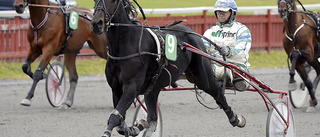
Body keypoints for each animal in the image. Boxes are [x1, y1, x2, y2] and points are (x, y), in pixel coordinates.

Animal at [91, 0, 246, 136]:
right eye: (95, 0)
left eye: (113, 0)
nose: (96, 23)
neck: (126, 45)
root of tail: (191, 32)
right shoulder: (116, 88)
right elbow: (120, 124)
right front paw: (134, 127)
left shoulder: (131, 87)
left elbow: (115, 117)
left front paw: (108, 133)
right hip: (153, 89)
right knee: (153, 119)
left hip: (202, 78)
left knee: (218, 94)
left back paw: (236, 119)